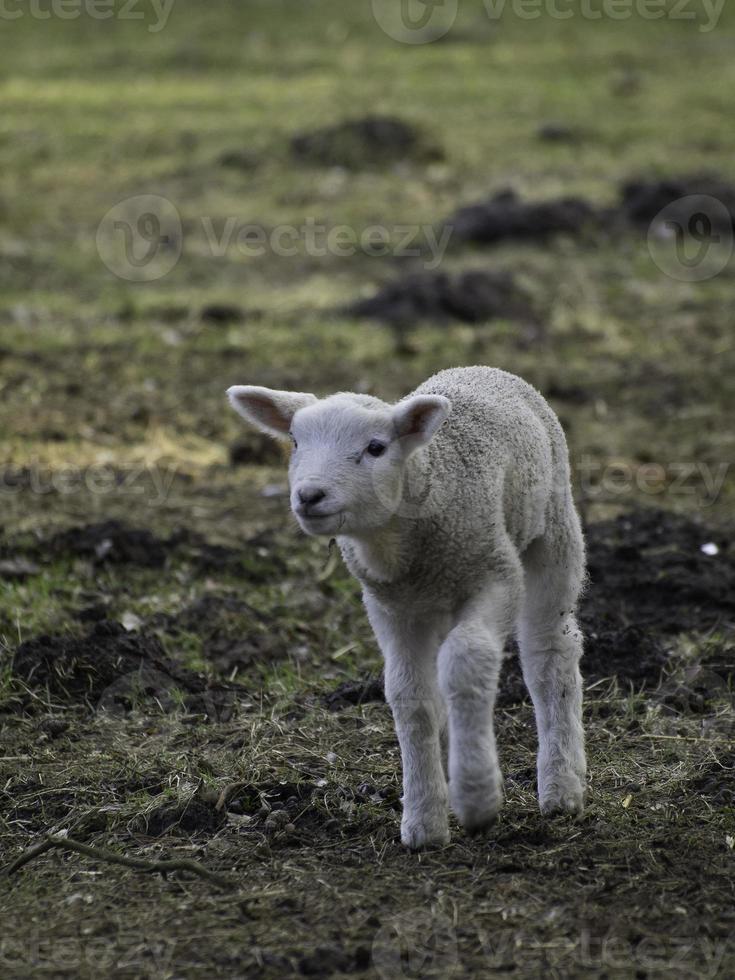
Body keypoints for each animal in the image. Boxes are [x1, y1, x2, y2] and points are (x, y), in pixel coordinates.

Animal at [227, 368, 588, 848]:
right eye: (295, 442)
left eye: (376, 448)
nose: (309, 495)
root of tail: (482, 368)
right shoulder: (391, 607)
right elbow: (409, 694)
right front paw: (423, 821)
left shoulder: (497, 575)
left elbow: (467, 661)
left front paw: (476, 795)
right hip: (437, 602)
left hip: (553, 528)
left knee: (549, 652)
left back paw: (561, 785)